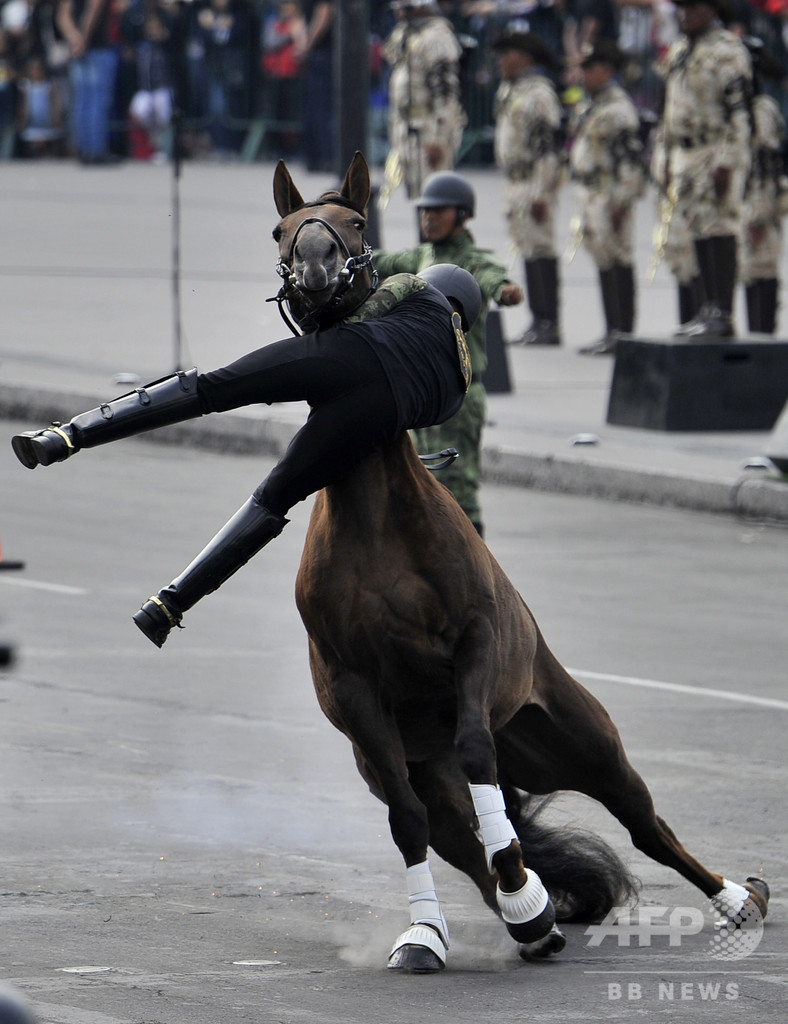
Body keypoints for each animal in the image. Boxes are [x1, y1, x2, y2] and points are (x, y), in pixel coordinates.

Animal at [272, 151, 769, 972]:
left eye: (354, 223)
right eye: (284, 230)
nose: (314, 267)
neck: (375, 528)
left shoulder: (474, 643)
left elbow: (479, 750)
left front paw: (520, 882)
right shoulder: (359, 699)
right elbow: (411, 823)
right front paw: (431, 933)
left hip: (583, 739)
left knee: (642, 823)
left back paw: (734, 900)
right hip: (430, 770)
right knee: (462, 838)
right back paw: (530, 915)